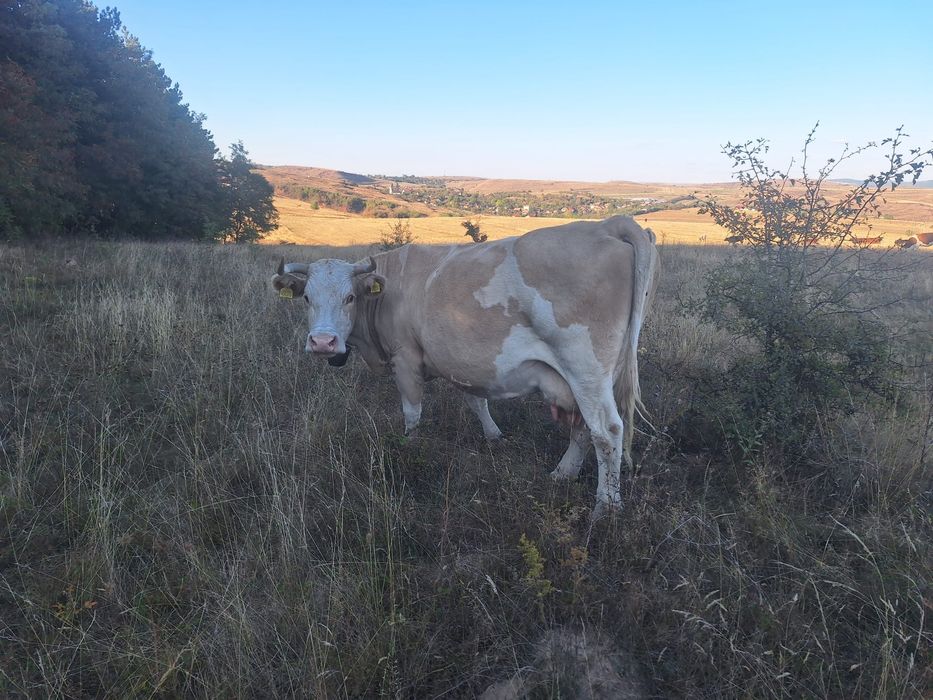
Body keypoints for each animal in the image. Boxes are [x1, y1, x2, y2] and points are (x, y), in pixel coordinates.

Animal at [272, 216, 660, 519]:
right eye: (306, 298)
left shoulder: (405, 358)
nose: (323, 342)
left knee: (606, 431)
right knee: (582, 427)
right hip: (587, 377)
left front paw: (409, 449)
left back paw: (605, 508)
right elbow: (476, 400)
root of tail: (609, 224)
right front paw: (493, 435)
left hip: (586, 369)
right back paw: (563, 474)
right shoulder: (461, 362)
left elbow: (412, 413)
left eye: (349, 297)